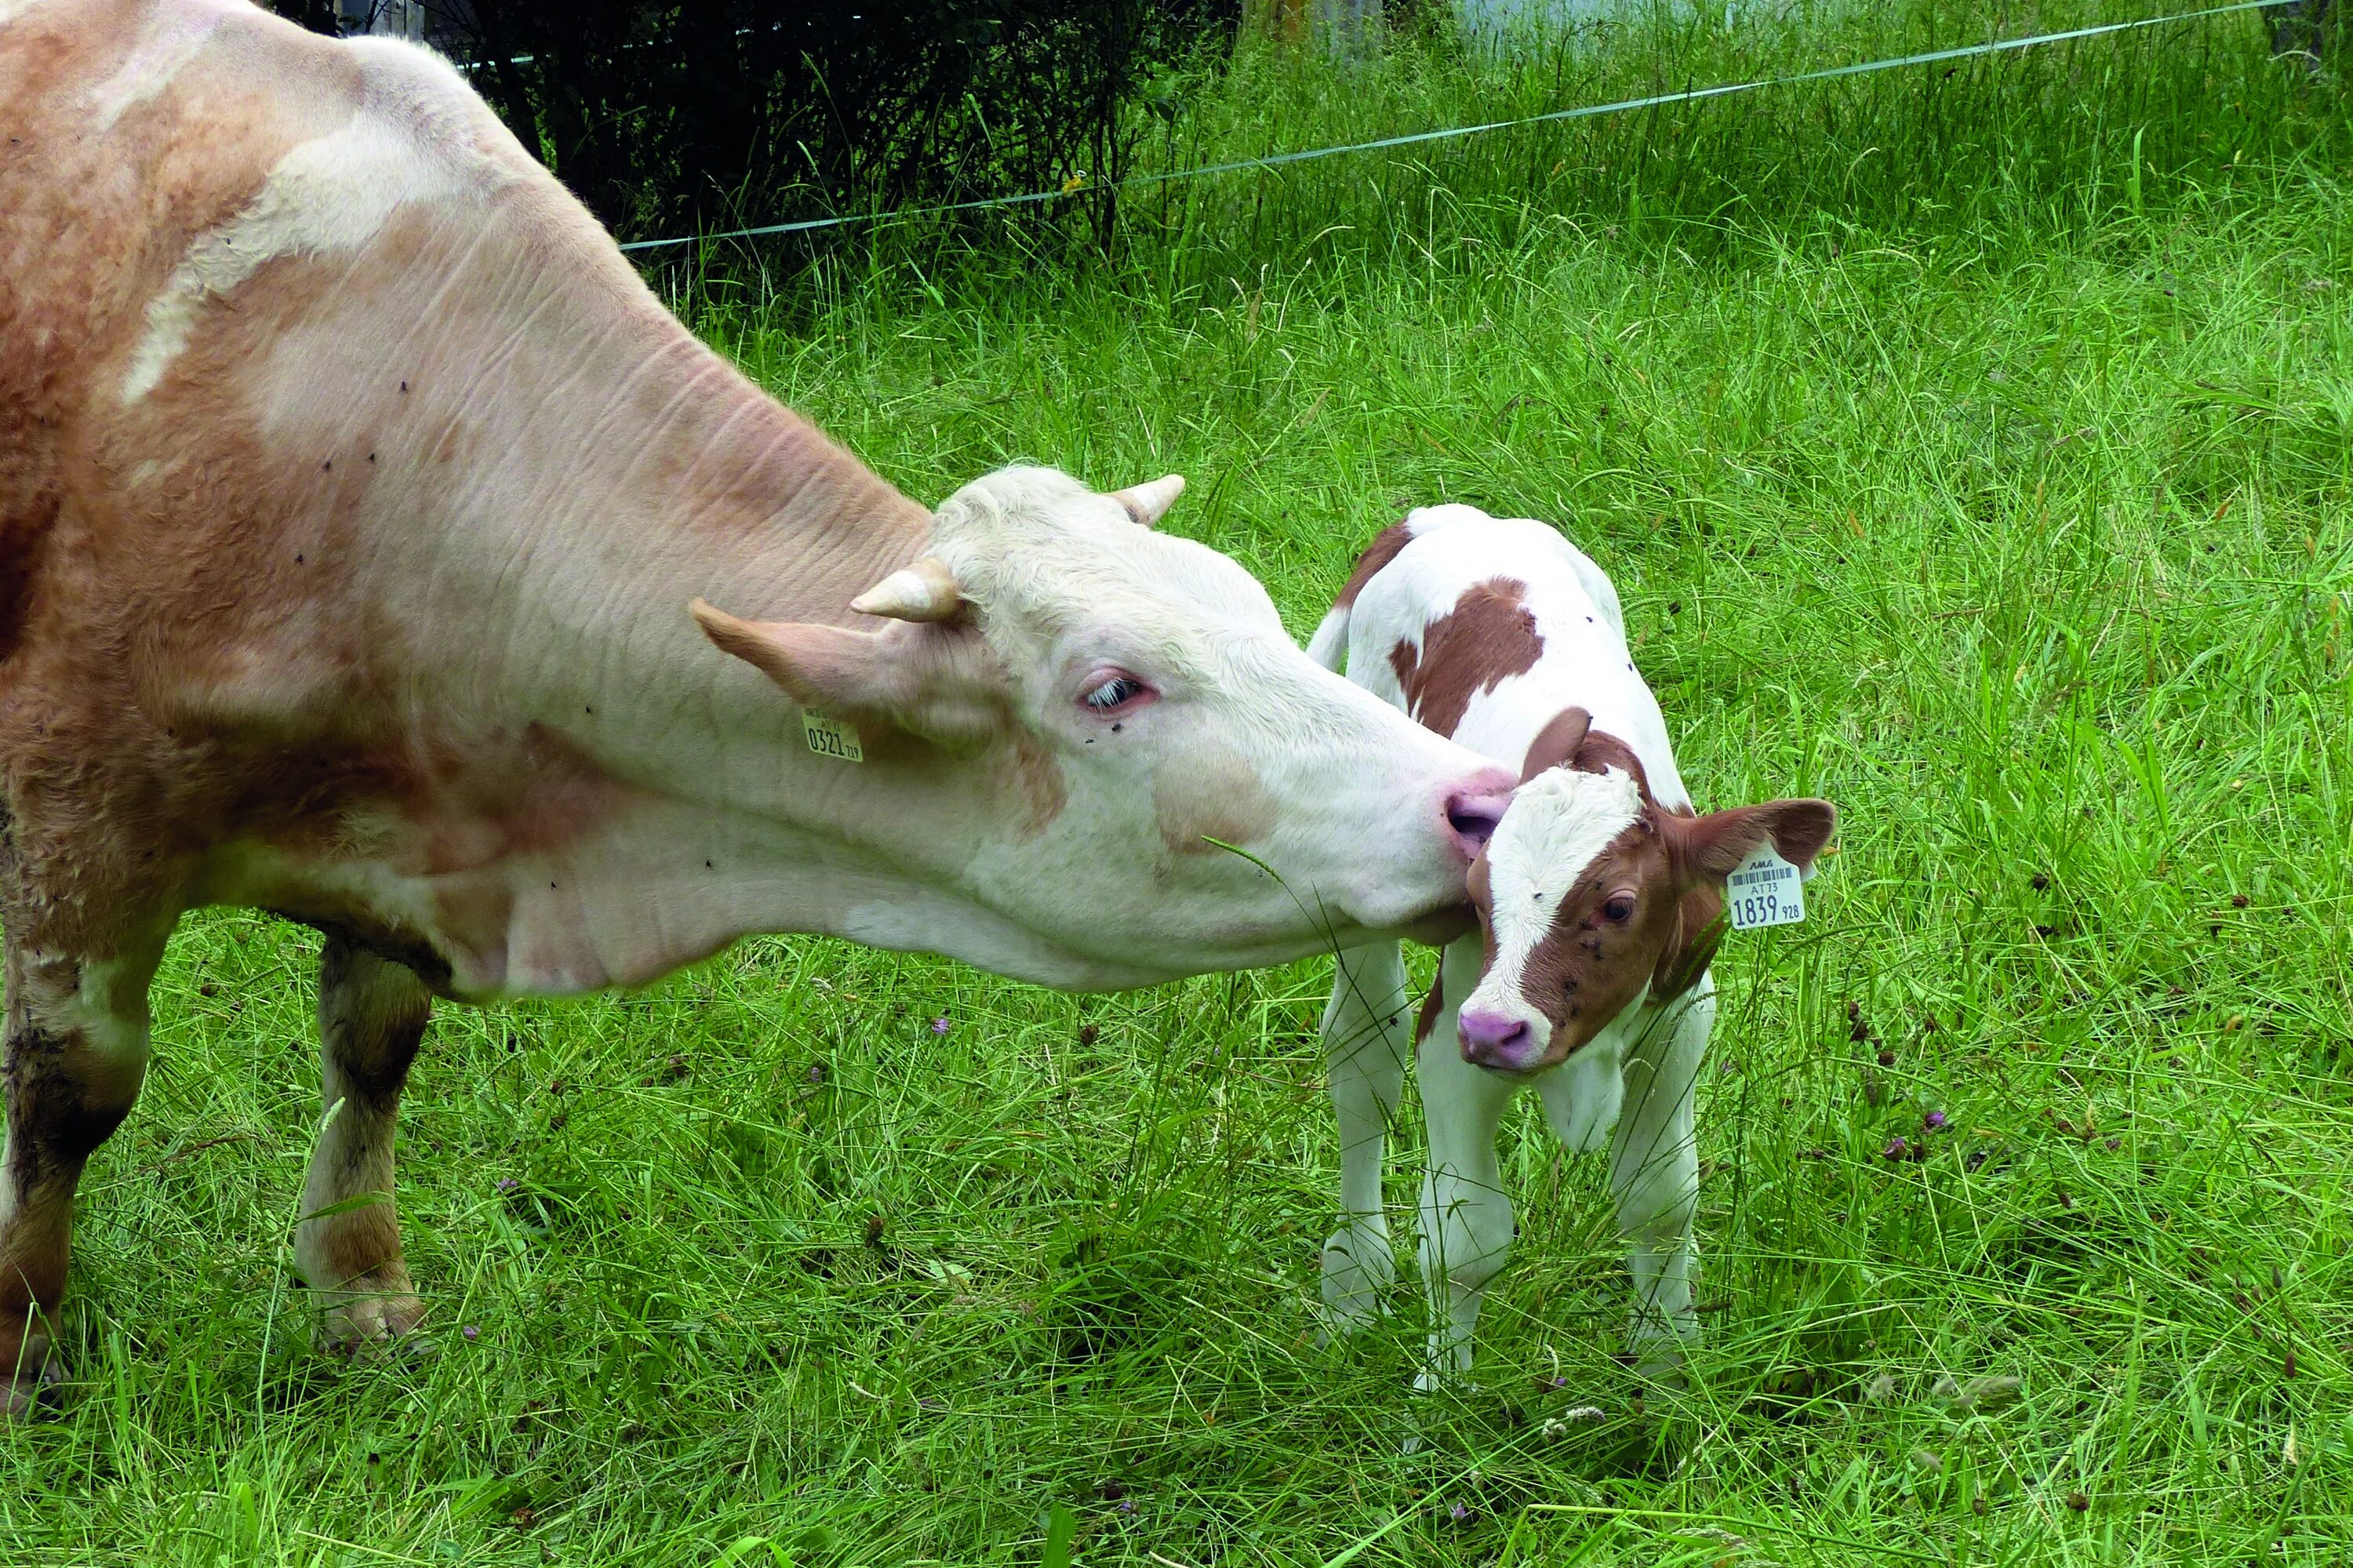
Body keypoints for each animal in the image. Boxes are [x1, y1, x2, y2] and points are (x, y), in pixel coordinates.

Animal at [0, 0, 1515, 1402]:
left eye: (1250, 602)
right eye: (1110, 686)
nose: (1481, 801)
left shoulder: (405, 823)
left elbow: (374, 1043)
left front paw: (360, 1287)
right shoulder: (73, 813)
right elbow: (72, 1085)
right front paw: (23, 1341)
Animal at [1308, 504, 1835, 1384]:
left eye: (1619, 906)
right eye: (1476, 896)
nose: (1498, 1029)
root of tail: (1443, 516)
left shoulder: (1679, 1018)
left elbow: (1660, 1201)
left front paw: (1667, 1364)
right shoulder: (1454, 1035)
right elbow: (1465, 1235)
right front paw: (1440, 1392)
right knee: (1362, 1063)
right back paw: (1352, 1281)